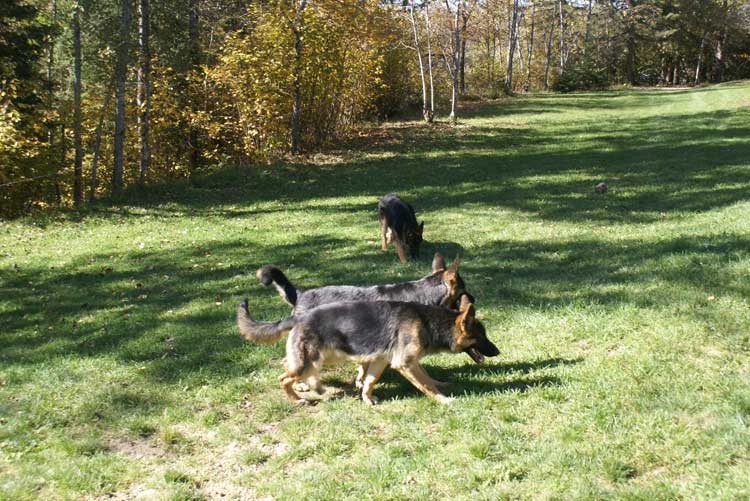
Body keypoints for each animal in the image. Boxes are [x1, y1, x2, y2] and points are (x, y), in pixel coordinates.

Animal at [238, 294, 502, 404]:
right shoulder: (405, 363)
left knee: (288, 365)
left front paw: (367, 398)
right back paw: (297, 398)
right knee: (283, 377)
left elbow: (370, 380)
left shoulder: (382, 361)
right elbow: (425, 384)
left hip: (319, 358)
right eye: (482, 337)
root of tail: (298, 317)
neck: (428, 321)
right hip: (311, 361)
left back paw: (311, 387)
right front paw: (442, 399)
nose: (498, 352)